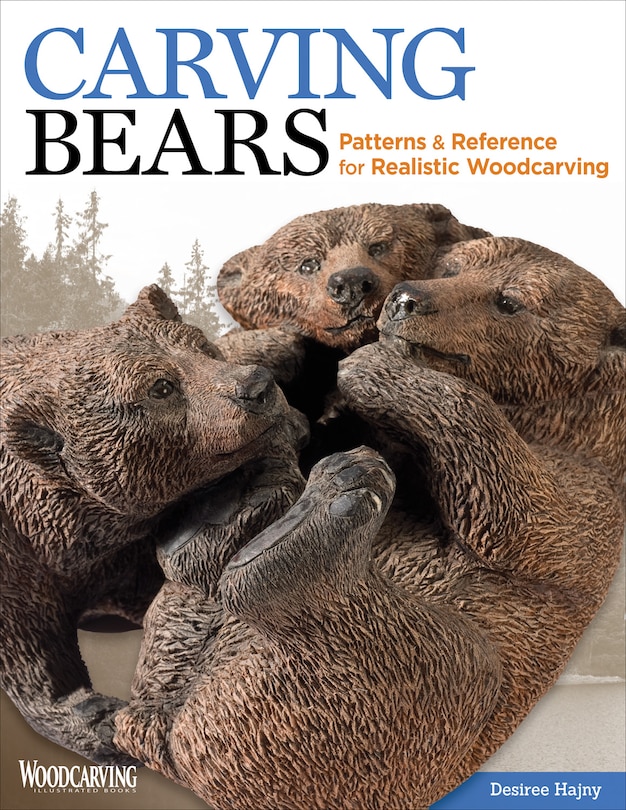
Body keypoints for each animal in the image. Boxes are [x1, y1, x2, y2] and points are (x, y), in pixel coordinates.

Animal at [0, 284, 306, 765]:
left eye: (201, 346)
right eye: (161, 387)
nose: (254, 387)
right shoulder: (20, 553)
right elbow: (29, 644)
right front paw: (96, 717)